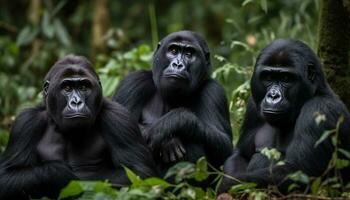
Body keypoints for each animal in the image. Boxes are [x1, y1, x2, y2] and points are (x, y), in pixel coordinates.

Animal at [0, 55, 156, 200]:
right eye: (67, 88)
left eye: (83, 87)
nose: (76, 102)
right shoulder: (25, 123)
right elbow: (6, 176)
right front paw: (56, 174)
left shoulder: (119, 118)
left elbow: (139, 173)